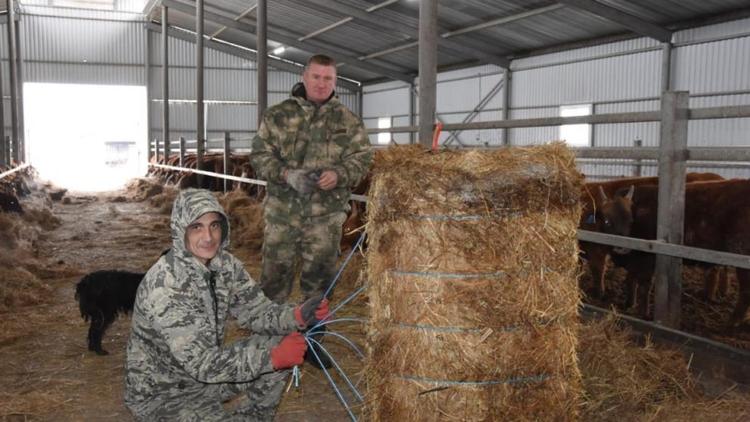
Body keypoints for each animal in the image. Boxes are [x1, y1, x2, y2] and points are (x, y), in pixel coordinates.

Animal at [600, 180, 750, 328]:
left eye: (630, 221)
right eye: (607, 221)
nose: (622, 247)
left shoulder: (647, 262)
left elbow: (644, 286)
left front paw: (644, 314)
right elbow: (630, 280)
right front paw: (629, 303)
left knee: (745, 291)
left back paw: (733, 321)